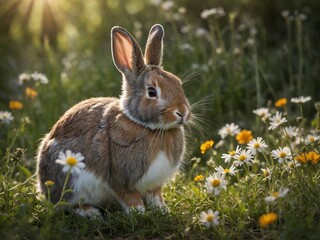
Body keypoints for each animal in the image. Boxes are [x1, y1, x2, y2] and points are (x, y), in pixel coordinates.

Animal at [35, 24, 190, 218]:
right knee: (67, 204)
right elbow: (130, 198)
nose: (183, 112)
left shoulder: (153, 185)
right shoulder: (120, 179)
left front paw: (162, 210)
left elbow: (156, 197)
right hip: (70, 180)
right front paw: (139, 213)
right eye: (152, 92)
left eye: (178, 82)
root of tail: (43, 187)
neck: (147, 126)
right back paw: (91, 213)